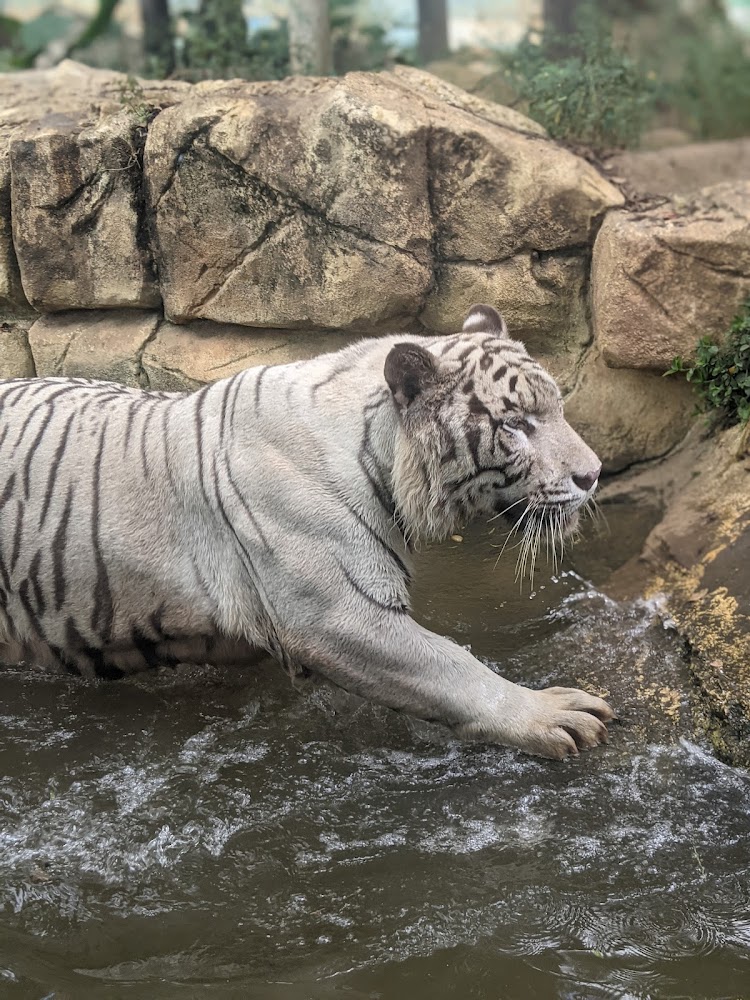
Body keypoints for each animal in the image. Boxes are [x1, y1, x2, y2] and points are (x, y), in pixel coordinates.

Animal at [0, 304, 613, 759]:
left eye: (557, 408)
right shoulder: (336, 614)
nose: (593, 474)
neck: (378, 454)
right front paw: (552, 715)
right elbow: (450, 664)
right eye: (516, 425)